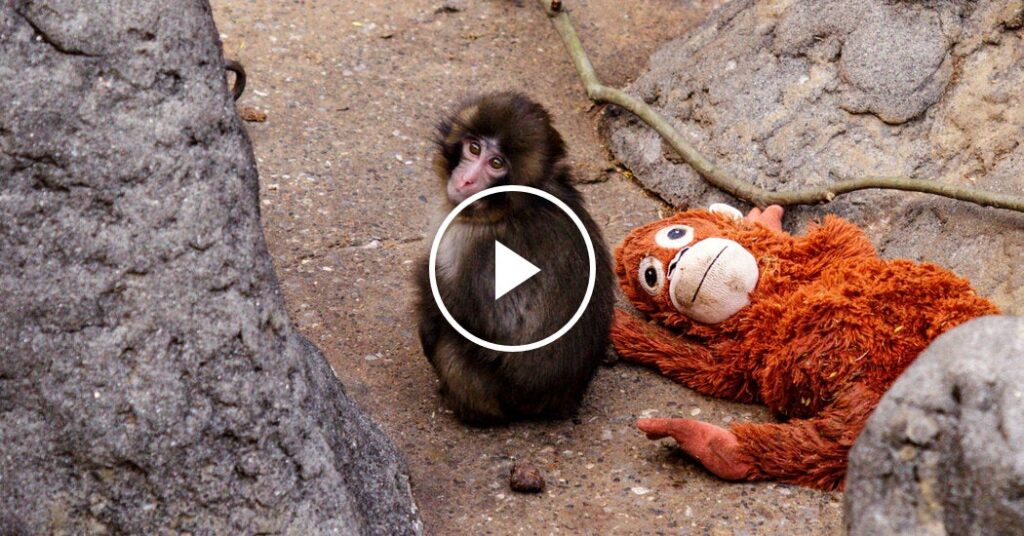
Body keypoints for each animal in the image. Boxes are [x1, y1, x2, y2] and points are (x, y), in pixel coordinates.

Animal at [415, 92, 615, 425]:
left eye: (496, 164)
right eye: (474, 148)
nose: (466, 180)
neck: (511, 207)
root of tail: (561, 401)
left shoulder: (471, 244)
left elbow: (484, 325)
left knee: (452, 347)